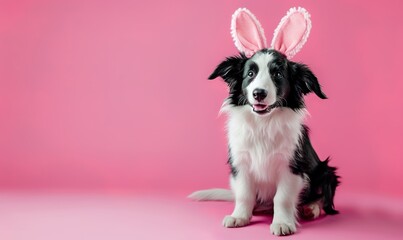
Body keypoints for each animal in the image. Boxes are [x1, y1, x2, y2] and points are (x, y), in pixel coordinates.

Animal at [188, 7, 340, 236]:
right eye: (250, 74)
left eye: (277, 74)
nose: (259, 93)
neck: (264, 124)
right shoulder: (241, 163)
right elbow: (244, 194)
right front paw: (240, 216)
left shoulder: (291, 167)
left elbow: (282, 198)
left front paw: (282, 222)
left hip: (325, 171)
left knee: (323, 196)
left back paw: (311, 208)